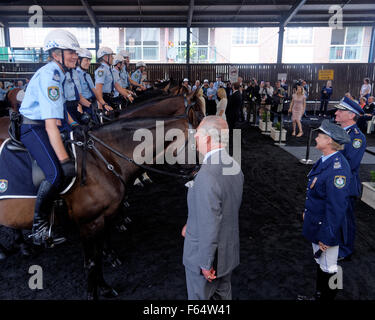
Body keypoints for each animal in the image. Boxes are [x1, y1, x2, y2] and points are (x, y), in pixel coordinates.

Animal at [0, 94, 204, 298]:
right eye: (196, 142)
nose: (198, 175)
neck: (103, 158)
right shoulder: (88, 223)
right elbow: (90, 262)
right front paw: (93, 292)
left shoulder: (102, 217)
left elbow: (98, 256)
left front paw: (105, 283)